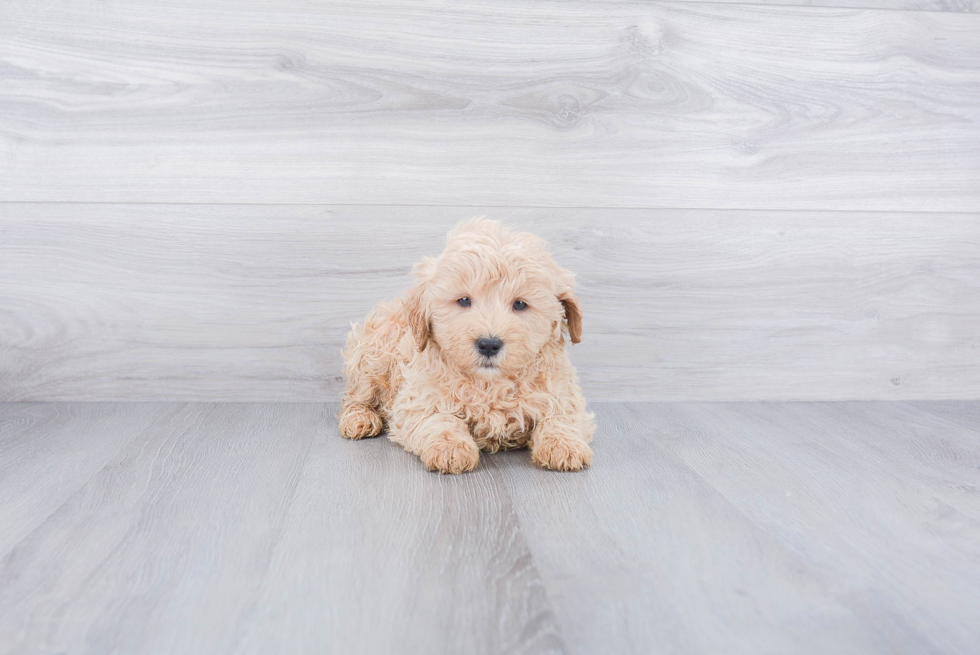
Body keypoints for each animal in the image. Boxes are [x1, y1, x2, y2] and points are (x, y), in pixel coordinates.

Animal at [336, 218, 596, 474]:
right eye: (463, 300)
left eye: (520, 304)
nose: (489, 344)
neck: (489, 383)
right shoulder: (419, 399)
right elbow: (439, 419)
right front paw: (449, 447)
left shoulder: (562, 393)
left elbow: (562, 417)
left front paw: (564, 445)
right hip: (373, 352)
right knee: (356, 396)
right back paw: (359, 419)